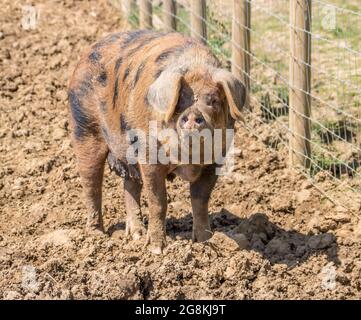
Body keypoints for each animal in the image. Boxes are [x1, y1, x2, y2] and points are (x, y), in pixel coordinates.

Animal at [67, 30, 245, 255]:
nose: (193, 115)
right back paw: (97, 235)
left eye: (213, 100)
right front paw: (156, 250)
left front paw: (206, 244)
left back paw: (136, 235)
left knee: (130, 186)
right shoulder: (149, 155)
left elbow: (201, 200)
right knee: (91, 183)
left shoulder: (215, 161)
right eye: (180, 100)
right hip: (84, 126)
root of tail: (87, 51)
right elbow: (158, 201)